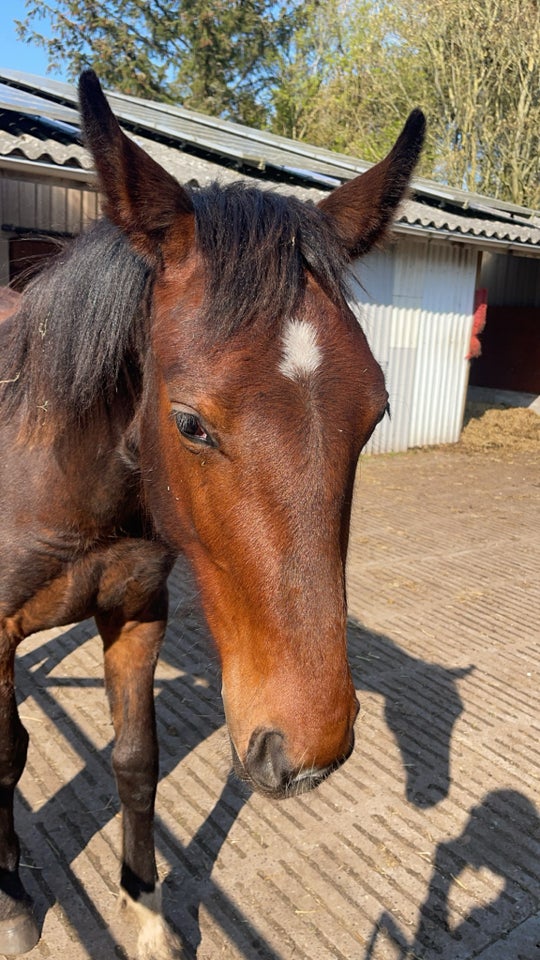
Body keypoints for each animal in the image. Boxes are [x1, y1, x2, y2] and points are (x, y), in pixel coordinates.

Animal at [0, 73, 424, 960]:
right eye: (191, 424)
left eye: (375, 413)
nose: (308, 752)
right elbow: (7, 756)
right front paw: (10, 900)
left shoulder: (135, 612)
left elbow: (136, 760)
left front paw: (147, 912)